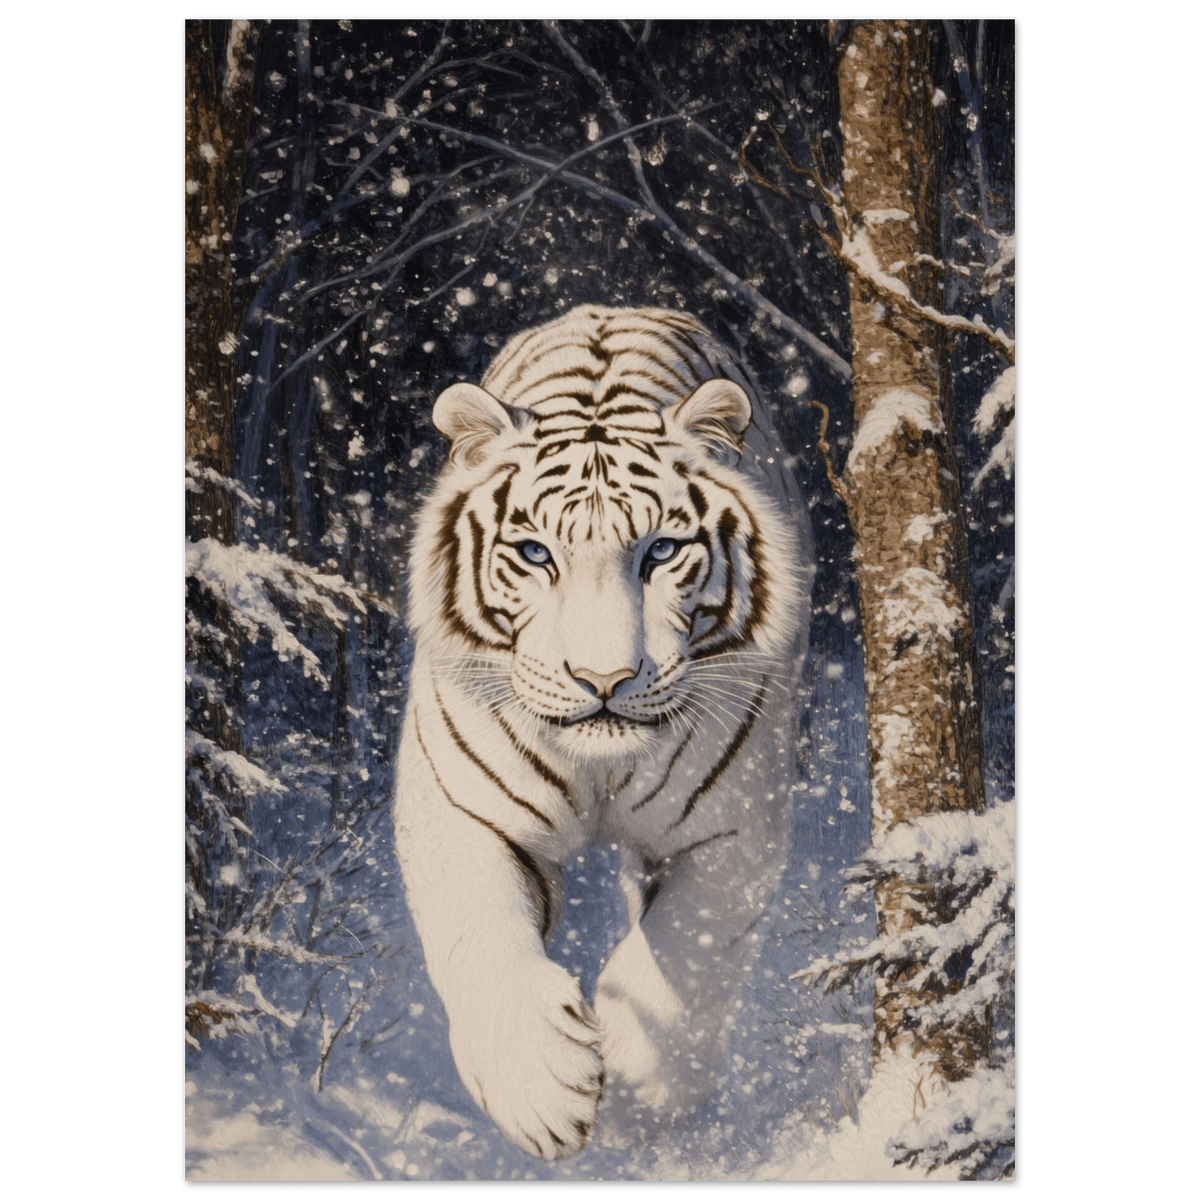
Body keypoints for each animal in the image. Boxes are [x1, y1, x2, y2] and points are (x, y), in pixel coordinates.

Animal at [393, 305, 813, 1159]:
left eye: (662, 551)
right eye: (533, 553)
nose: (603, 681)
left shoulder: (732, 828)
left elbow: (683, 956)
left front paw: (640, 1098)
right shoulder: (458, 810)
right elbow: (479, 934)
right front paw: (540, 1089)